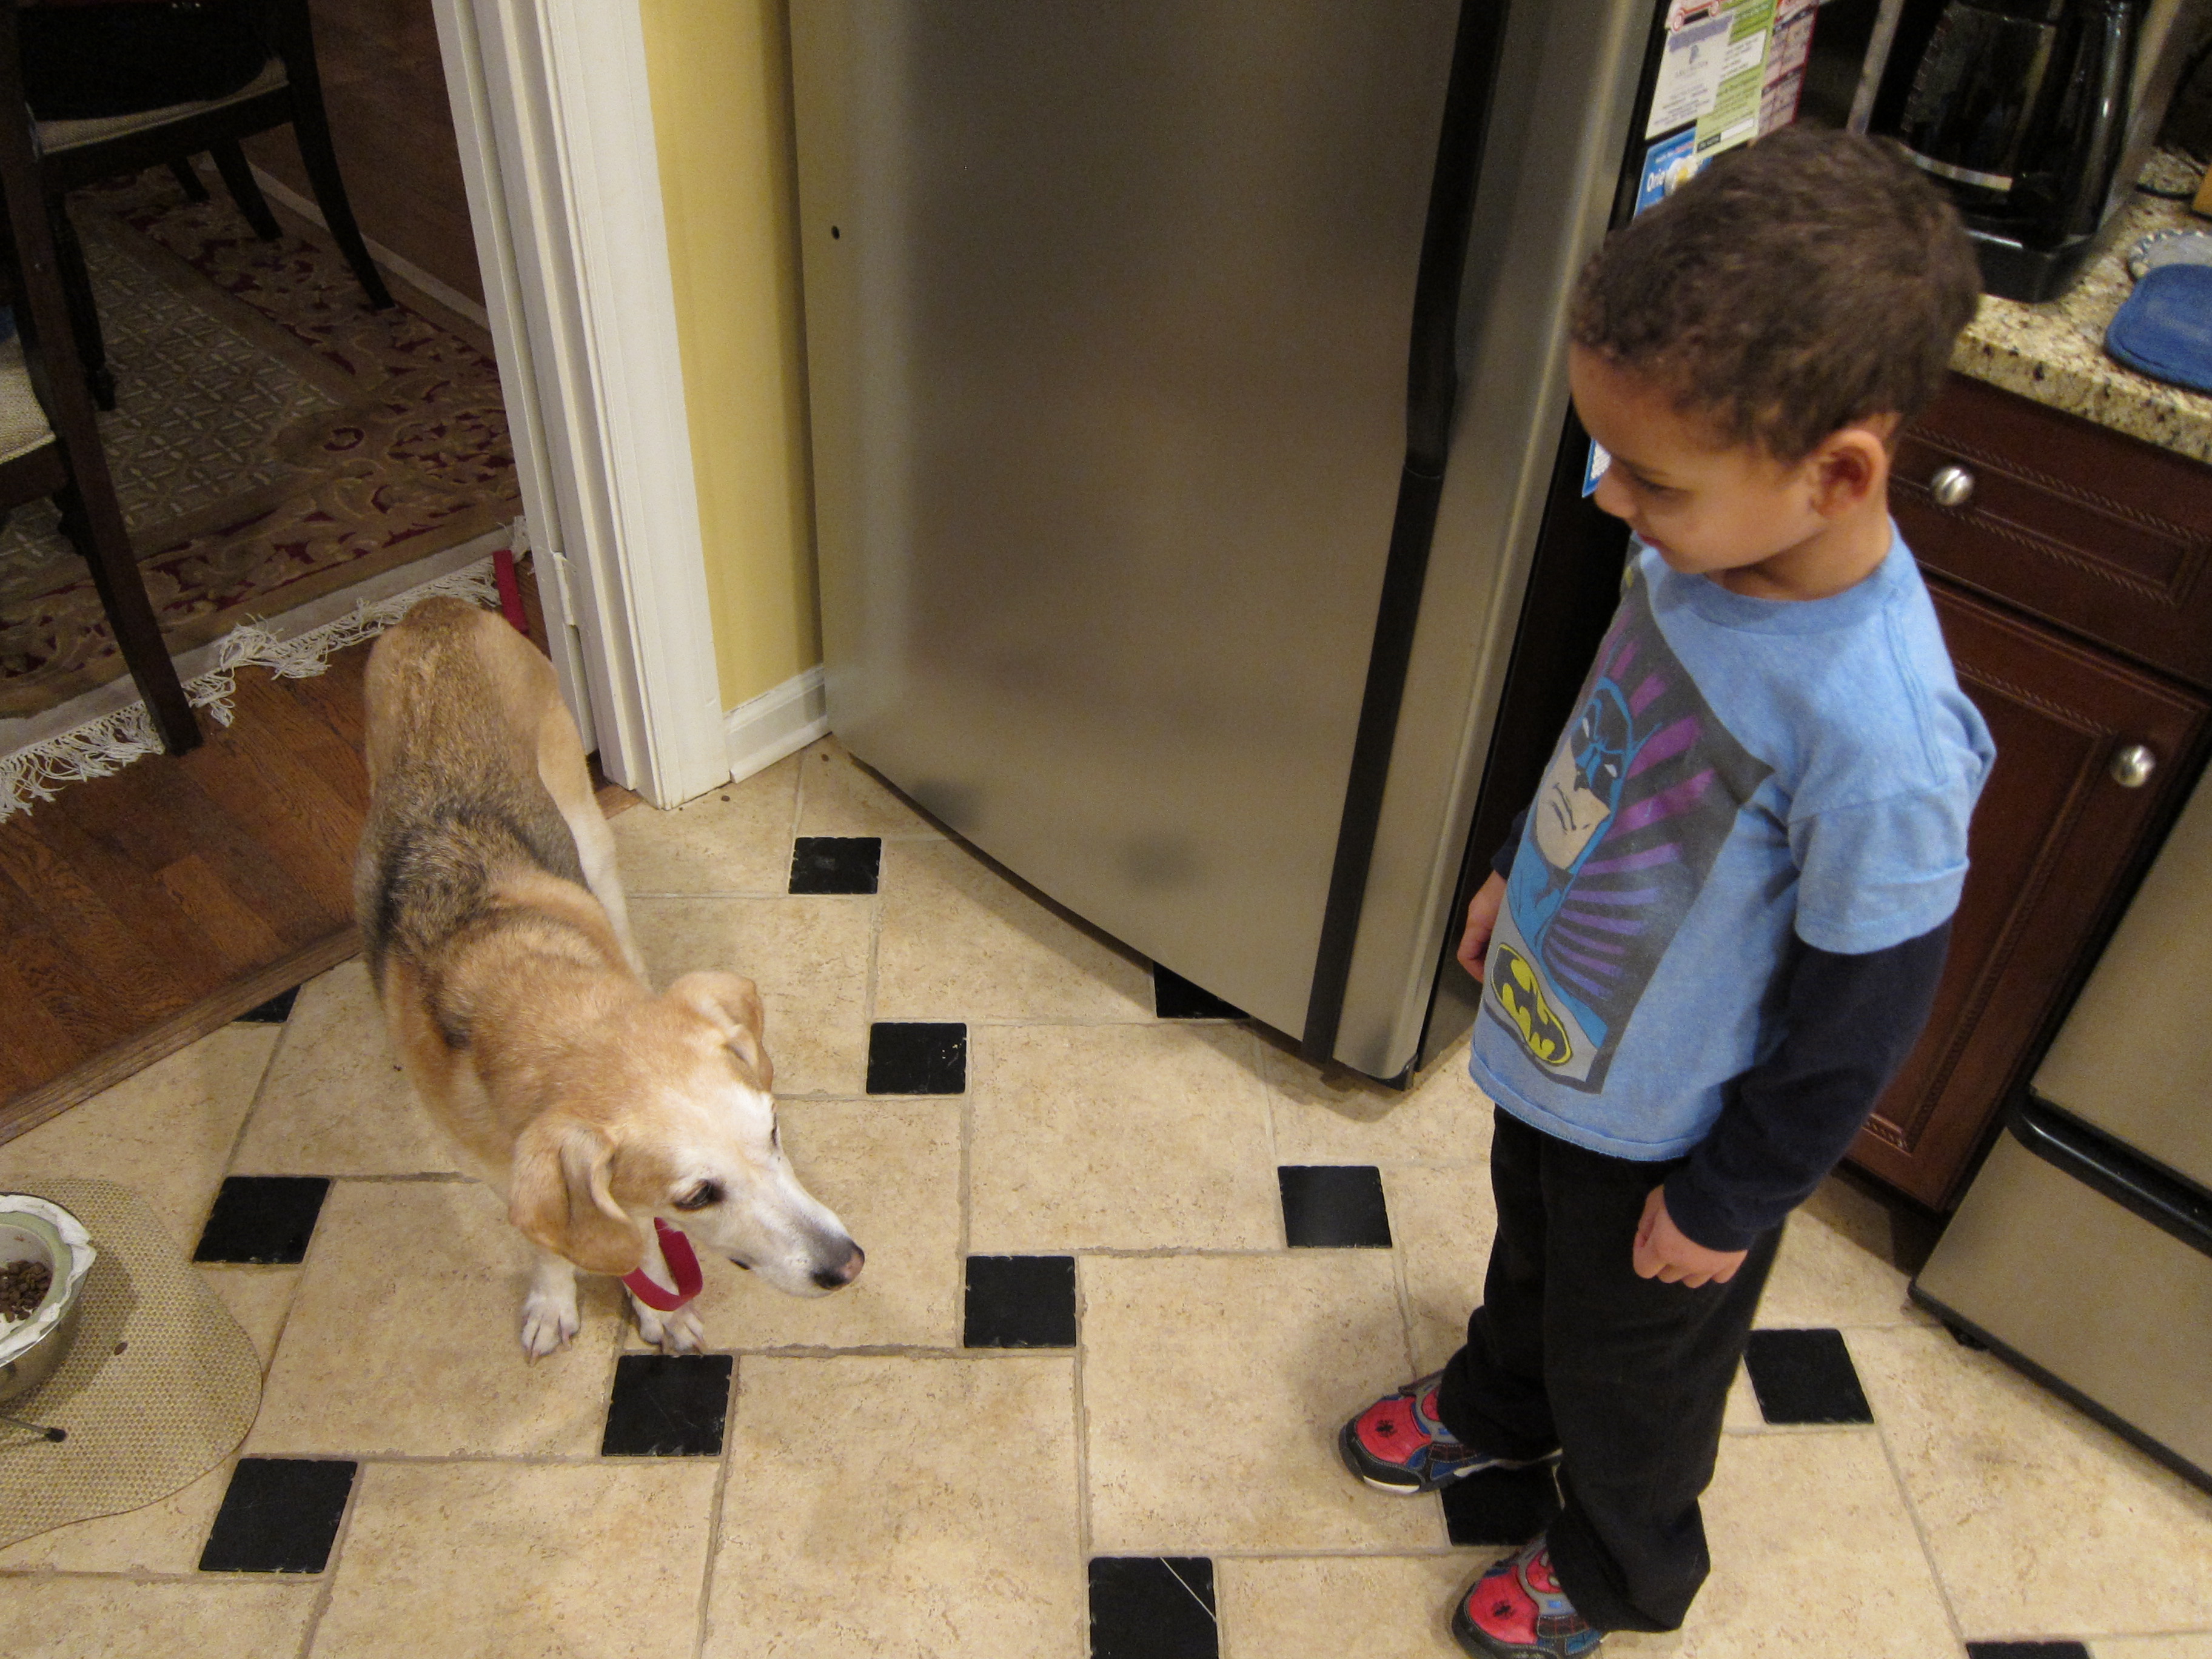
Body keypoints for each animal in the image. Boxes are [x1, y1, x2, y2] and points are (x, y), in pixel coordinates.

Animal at [355, 596, 862, 1357]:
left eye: (773, 1130)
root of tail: (433, 609)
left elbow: (637, 1240)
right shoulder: (500, 1171)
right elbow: (559, 1241)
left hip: (588, 833)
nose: (849, 1265)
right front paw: (559, 1298)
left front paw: (657, 1305)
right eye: (697, 1197)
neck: (525, 991)